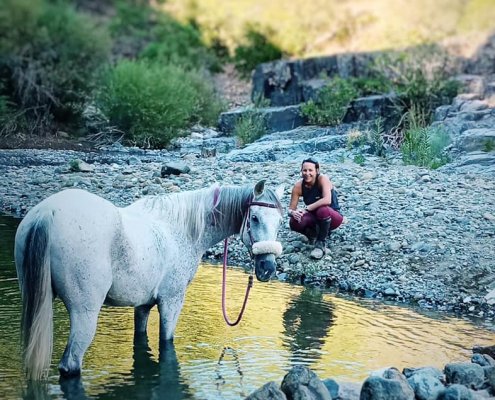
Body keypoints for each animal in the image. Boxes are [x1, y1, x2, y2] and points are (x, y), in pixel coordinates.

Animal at [15, 181, 284, 382]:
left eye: (280, 221)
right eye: (255, 218)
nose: (268, 268)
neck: (184, 230)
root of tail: (46, 214)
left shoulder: (142, 305)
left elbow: (140, 340)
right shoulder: (171, 302)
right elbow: (166, 343)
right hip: (85, 314)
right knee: (71, 365)